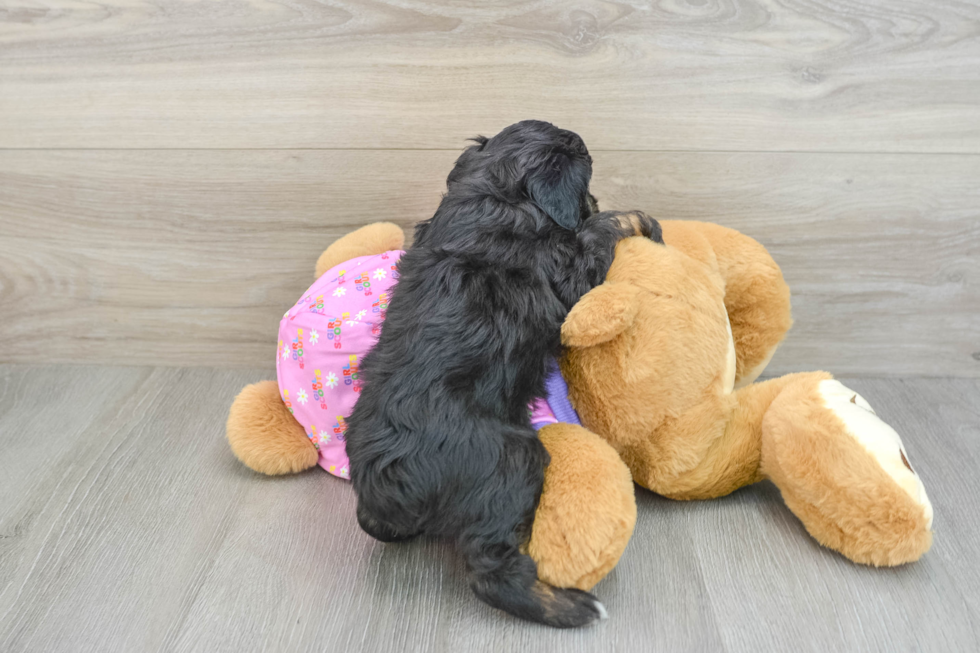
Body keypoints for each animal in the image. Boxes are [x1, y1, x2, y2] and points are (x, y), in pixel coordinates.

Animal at [344, 121, 660, 628]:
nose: (592, 199)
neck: (492, 192)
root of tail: (383, 493)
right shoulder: (566, 272)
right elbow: (598, 231)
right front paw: (637, 218)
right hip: (509, 462)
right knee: (489, 570)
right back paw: (572, 605)